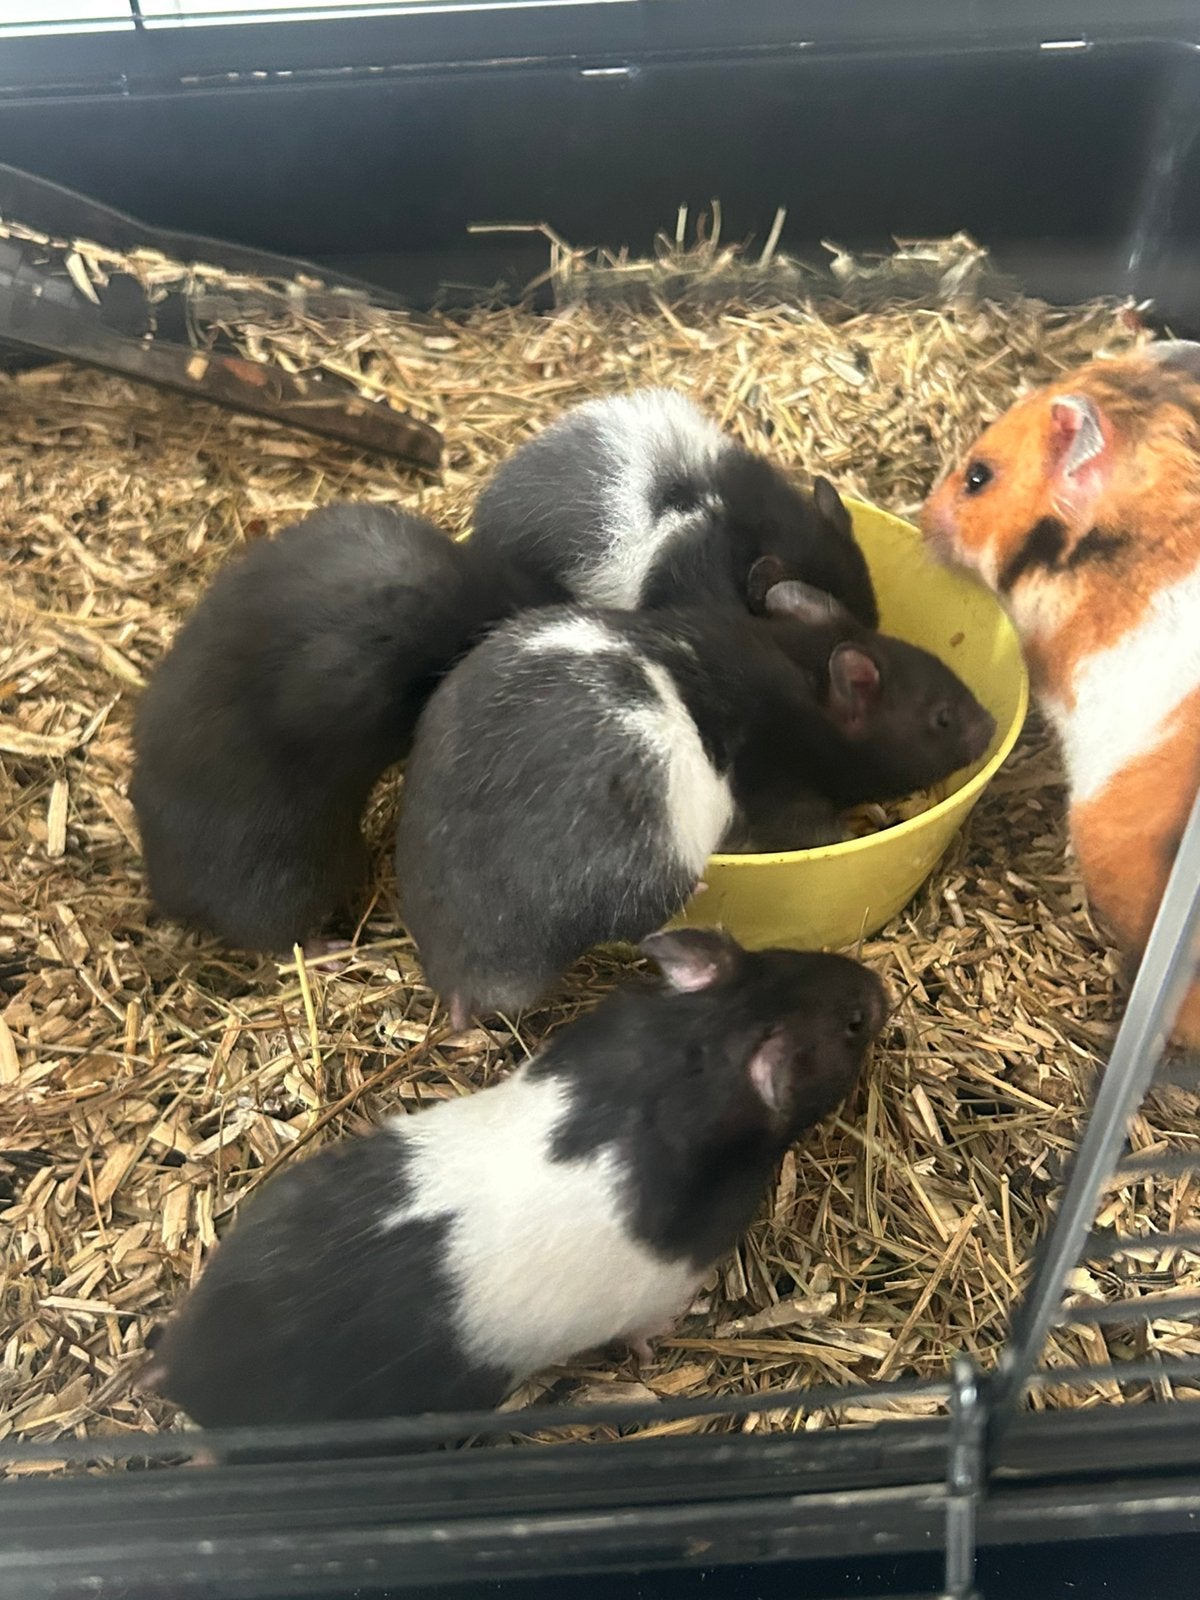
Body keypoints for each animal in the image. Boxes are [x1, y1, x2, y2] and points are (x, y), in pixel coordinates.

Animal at [144, 928, 886, 1428]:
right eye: (852, 1026)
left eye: (789, 953)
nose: (879, 991)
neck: (700, 1049)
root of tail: (183, 1363)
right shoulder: (666, 1284)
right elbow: (646, 1332)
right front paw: (651, 1356)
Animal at [395, 594, 993, 1026]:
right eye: (942, 718)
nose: (990, 724)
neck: (808, 690)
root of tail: (457, 978)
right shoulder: (786, 805)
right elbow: (824, 831)